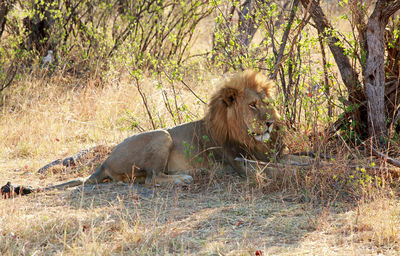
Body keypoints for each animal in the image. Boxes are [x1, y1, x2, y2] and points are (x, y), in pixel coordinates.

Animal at [41, 69, 284, 191]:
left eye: (267, 103)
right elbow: (275, 171)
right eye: (252, 105)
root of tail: (105, 161)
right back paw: (182, 179)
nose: (270, 122)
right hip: (162, 135)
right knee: (152, 178)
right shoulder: (238, 163)